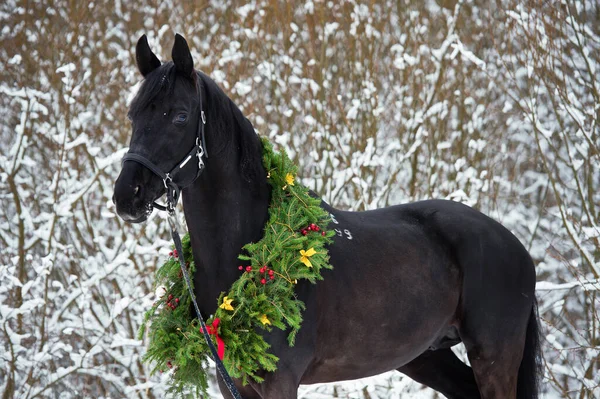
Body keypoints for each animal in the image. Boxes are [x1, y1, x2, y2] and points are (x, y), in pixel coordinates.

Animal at [112, 35, 540, 399]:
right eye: (133, 115)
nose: (126, 196)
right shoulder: (231, 382)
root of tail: (513, 245)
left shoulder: (280, 383)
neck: (246, 250)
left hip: (494, 356)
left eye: (180, 117)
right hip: (428, 356)